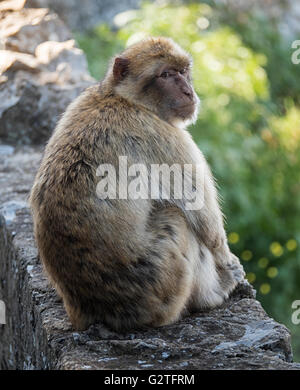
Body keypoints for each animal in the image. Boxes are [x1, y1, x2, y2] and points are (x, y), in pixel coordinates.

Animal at [28, 36, 244, 330]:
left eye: (183, 71)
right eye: (165, 75)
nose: (188, 92)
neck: (123, 98)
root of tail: (91, 311)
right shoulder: (167, 138)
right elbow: (204, 220)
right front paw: (230, 263)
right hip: (159, 285)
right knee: (178, 220)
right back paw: (212, 294)